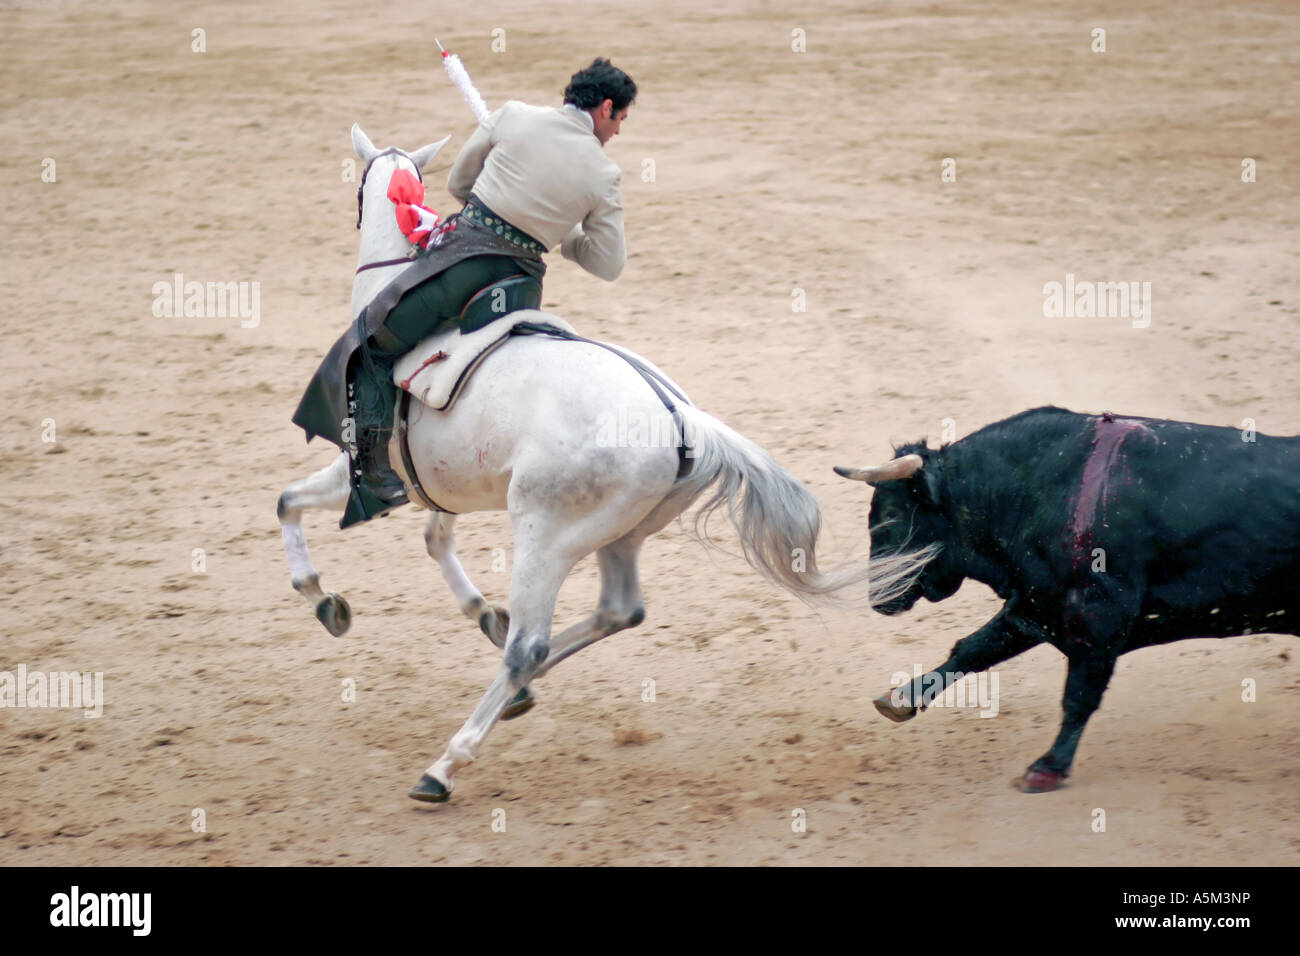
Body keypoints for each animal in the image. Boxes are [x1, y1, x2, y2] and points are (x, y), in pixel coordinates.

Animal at [276, 125, 925, 801]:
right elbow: (434, 539)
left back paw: (447, 763)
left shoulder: (375, 473)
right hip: (622, 531)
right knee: (619, 610)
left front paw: (320, 596)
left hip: (545, 533)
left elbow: (288, 501)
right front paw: (481, 612)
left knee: (530, 647)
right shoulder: (447, 484)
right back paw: (515, 692)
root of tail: (684, 416)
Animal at [837, 403, 1294, 790]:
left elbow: (1079, 695)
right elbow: (972, 648)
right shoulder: (1037, 602)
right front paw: (899, 699)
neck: (1041, 488)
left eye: (891, 516)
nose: (877, 598)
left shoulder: (1099, 618)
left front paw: (1047, 768)